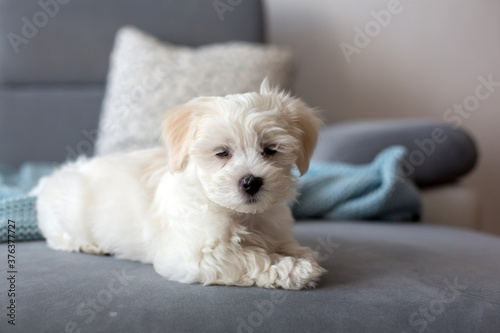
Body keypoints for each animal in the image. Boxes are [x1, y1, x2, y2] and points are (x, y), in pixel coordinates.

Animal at [35, 80, 326, 288]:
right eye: (222, 152)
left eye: (270, 150)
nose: (251, 181)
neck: (243, 215)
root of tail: (51, 179)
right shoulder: (193, 255)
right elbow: (249, 257)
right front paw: (294, 269)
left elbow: (282, 244)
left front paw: (300, 254)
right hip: (69, 210)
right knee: (59, 237)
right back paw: (90, 245)